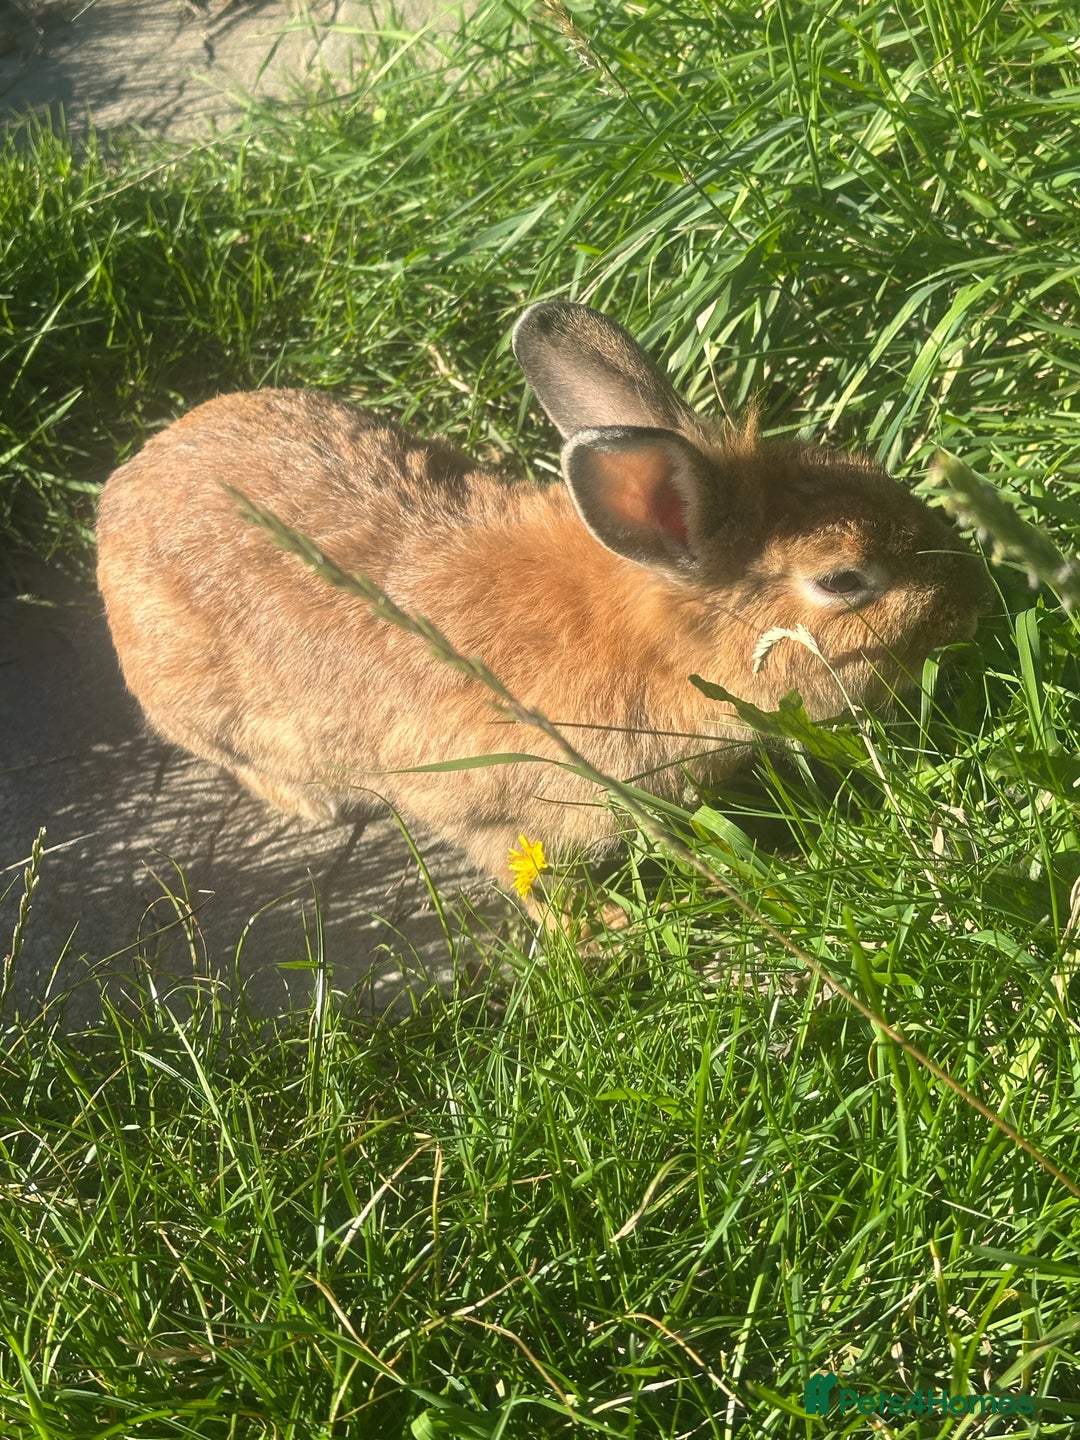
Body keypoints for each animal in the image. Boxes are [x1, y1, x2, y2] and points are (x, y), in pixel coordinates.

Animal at [96, 301, 990, 883]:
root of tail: (118, 501)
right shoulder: (487, 814)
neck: (647, 652)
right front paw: (601, 938)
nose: (976, 595)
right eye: (844, 580)